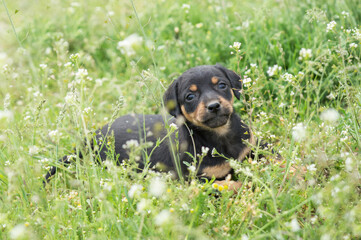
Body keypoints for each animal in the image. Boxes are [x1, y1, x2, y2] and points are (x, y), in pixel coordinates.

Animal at [45, 64, 264, 191]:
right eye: (190, 97)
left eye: (222, 85)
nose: (214, 106)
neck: (220, 135)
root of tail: (91, 138)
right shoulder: (194, 179)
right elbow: (227, 184)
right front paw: (249, 185)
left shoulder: (253, 147)